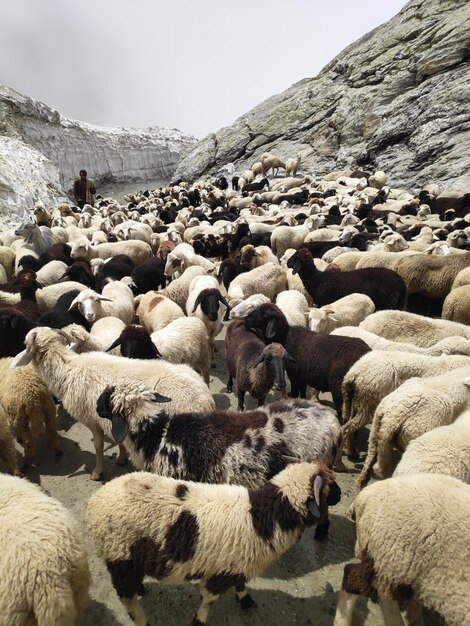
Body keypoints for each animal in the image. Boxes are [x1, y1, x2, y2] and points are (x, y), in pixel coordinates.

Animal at [11, 326, 215, 478]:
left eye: (25, 342)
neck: (67, 369)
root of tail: (205, 400)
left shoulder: (92, 420)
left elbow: (98, 446)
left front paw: (97, 472)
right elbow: (120, 441)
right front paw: (122, 458)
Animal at [88, 458, 338, 624]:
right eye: (328, 488)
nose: (340, 495)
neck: (264, 517)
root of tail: (95, 500)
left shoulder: (238, 564)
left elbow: (240, 584)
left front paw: (245, 600)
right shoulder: (219, 575)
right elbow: (208, 601)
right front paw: (199, 620)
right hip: (119, 558)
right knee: (127, 598)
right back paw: (142, 618)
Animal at [340, 352, 470, 458]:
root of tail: (353, 373)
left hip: (357, 401)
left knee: (348, 423)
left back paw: (350, 451)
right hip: (368, 402)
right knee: (349, 427)